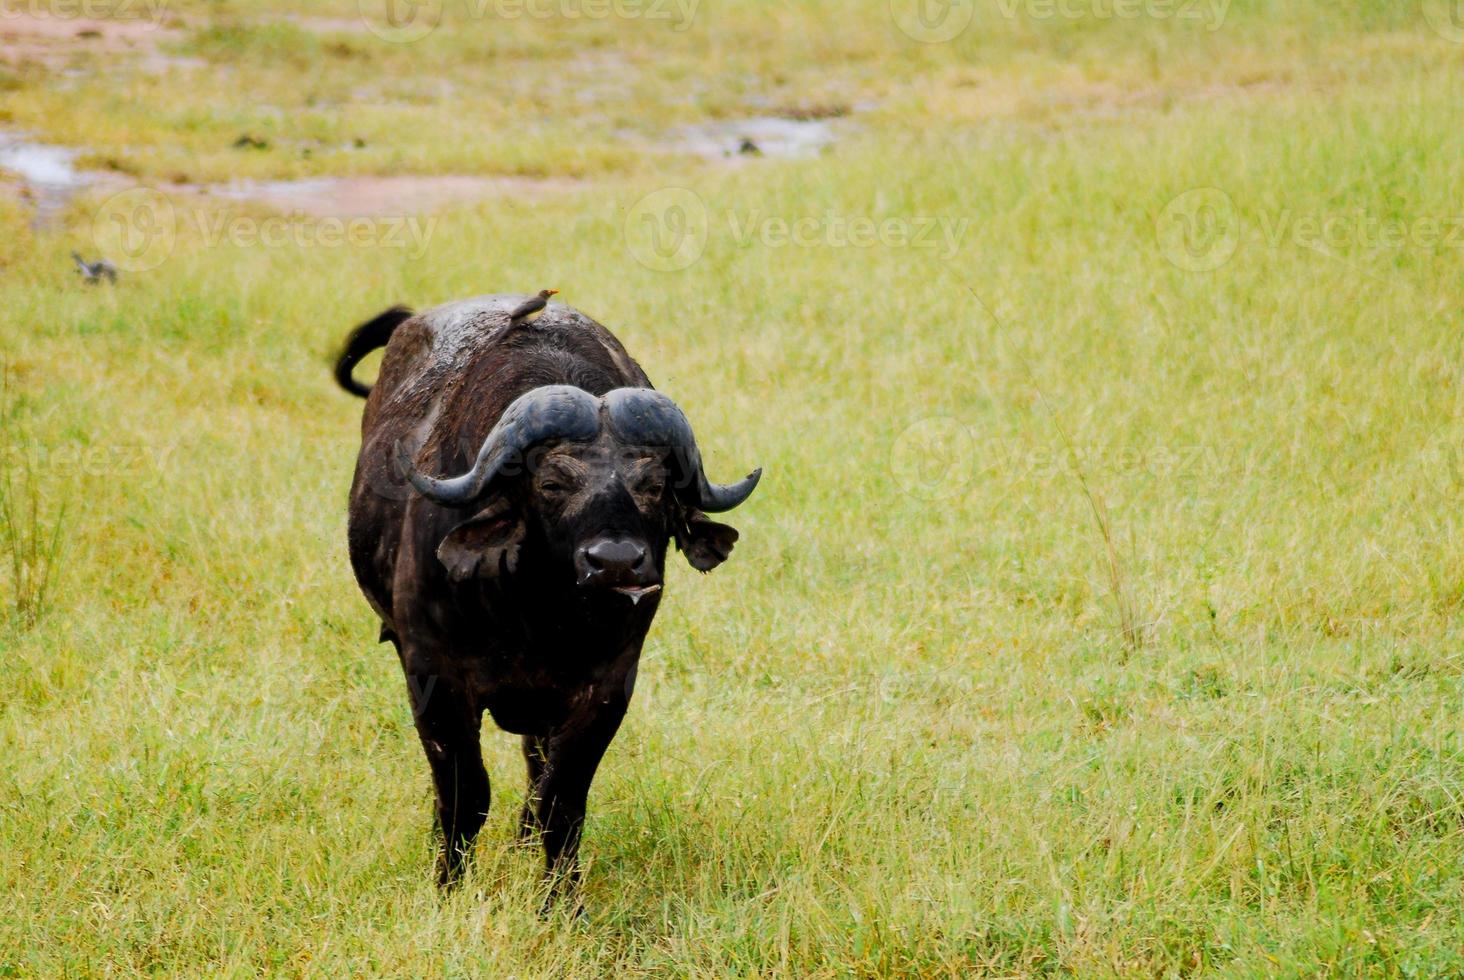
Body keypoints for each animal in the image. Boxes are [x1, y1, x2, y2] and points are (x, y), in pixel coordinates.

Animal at [335, 294, 761, 896]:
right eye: (551, 483)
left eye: (654, 486)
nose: (614, 562)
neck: (537, 616)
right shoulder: (432, 674)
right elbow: (465, 794)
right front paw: (448, 885)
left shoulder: (608, 687)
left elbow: (562, 800)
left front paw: (561, 899)